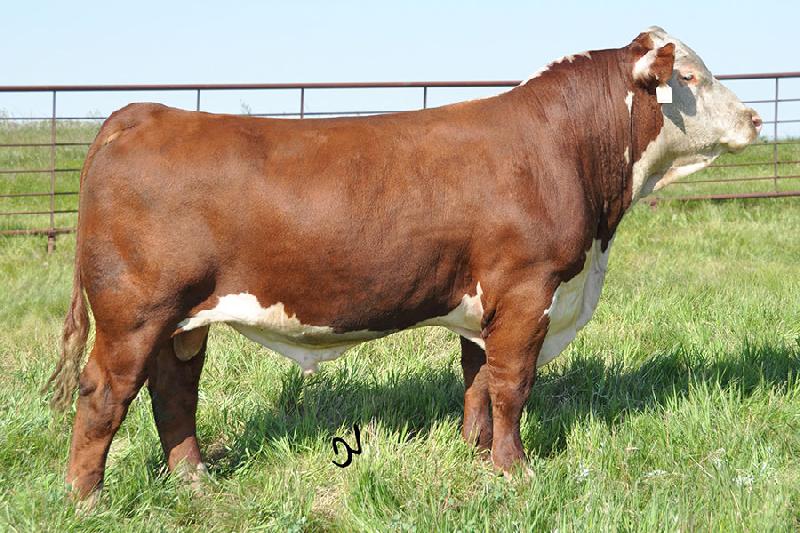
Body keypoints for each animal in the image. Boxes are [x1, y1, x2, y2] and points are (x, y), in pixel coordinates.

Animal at [45, 26, 761, 500]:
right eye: (689, 79)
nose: (755, 118)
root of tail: (143, 112)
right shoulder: (527, 290)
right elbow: (513, 385)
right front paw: (516, 471)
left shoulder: (485, 301)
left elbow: (477, 382)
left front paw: (478, 457)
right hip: (135, 312)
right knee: (104, 393)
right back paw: (87, 498)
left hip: (183, 319)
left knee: (174, 389)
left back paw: (194, 477)